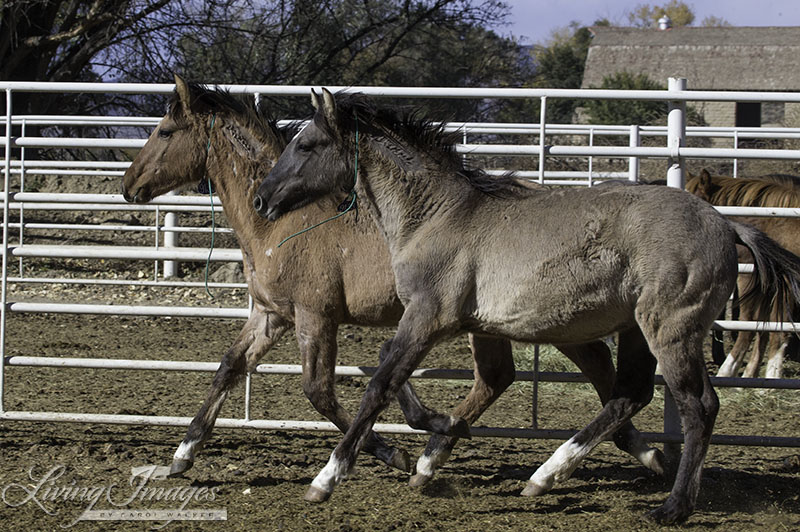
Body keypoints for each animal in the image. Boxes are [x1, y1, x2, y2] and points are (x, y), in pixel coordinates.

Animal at [122, 78, 664, 486]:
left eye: (165, 130)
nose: (128, 186)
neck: (283, 226)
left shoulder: (317, 317)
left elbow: (320, 391)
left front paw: (389, 453)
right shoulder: (271, 315)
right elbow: (228, 369)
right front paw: (180, 456)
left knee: (565, 371)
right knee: (539, 374)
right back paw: (639, 452)